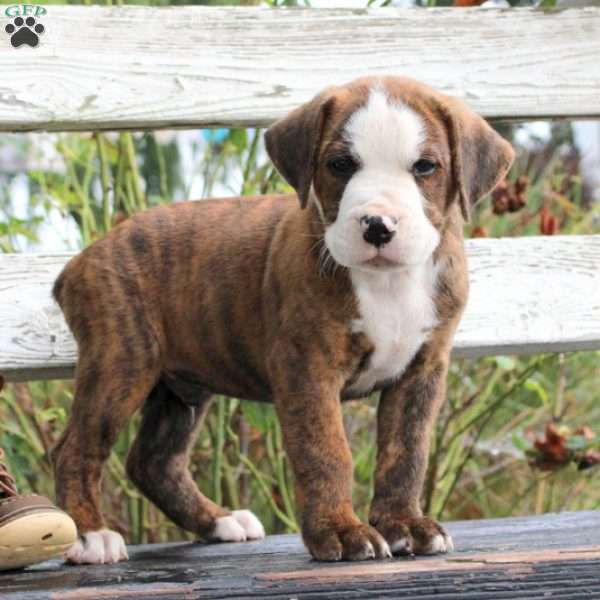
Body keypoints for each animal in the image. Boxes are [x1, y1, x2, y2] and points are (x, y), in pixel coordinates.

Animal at [51, 75, 512, 564]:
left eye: (425, 167)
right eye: (340, 164)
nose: (378, 225)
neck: (388, 282)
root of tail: (84, 257)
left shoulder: (422, 371)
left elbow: (406, 452)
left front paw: (403, 524)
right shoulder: (308, 367)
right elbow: (326, 450)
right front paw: (340, 531)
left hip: (181, 388)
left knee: (153, 462)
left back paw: (219, 521)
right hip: (122, 361)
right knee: (75, 449)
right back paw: (90, 535)